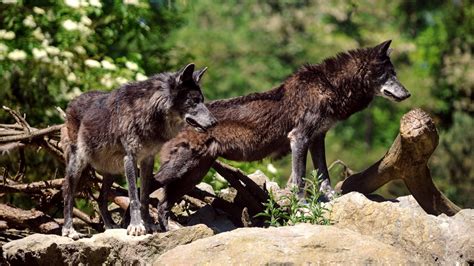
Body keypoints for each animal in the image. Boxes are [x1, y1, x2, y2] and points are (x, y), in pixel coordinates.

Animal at [60, 62, 216, 239]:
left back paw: (110, 226)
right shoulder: (131, 159)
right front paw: (136, 227)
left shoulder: (147, 160)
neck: (149, 110)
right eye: (194, 101)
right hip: (77, 164)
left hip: (111, 171)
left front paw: (148, 224)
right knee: (67, 193)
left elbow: (145, 197)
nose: (214, 122)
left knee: (101, 199)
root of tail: (73, 101)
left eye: (202, 100)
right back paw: (69, 230)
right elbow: (134, 197)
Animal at [153, 40, 412, 231]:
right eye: (389, 74)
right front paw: (304, 204)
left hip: (193, 174)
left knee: (164, 203)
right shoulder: (299, 138)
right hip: (182, 169)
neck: (330, 86)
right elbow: (300, 179)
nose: (408, 94)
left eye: (396, 74)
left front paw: (331, 197)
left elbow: (323, 175)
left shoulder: (318, 138)